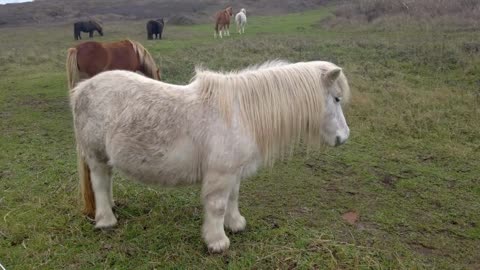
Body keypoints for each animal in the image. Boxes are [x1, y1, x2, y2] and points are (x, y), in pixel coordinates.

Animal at [70, 59, 348, 253]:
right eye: (336, 99)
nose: (344, 137)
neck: (240, 113)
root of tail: (82, 89)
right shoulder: (220, 174)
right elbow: (217, 206)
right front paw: (217, 242)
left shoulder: (233, 172)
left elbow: (233, 198)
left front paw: (235, 224)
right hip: (96, 155)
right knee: (100, 183)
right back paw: (106, 220)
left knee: (107, 182)